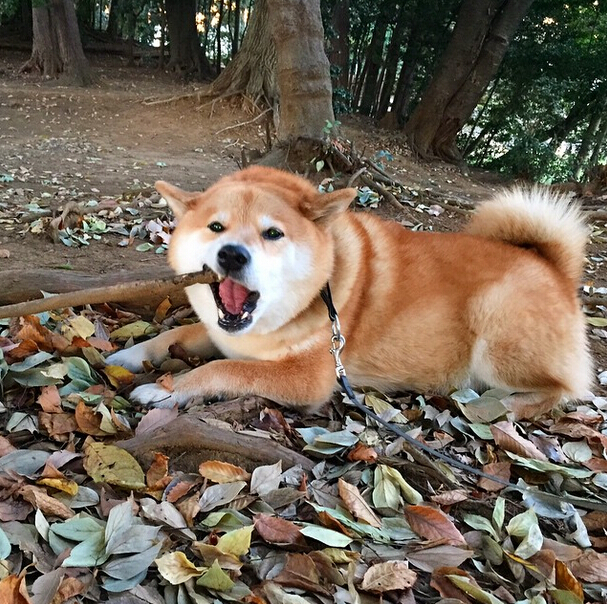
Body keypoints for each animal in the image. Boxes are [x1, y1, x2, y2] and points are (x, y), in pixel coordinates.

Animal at [107, 166, 592, 420]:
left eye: (272, 233)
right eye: (216, 227)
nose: (231, 255)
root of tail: (554, 267)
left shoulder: (308, 378)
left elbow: (222, 370)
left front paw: (165, 389)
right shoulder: (225, 333)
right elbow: (173, 336)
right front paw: (128, 356)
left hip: (497, 331)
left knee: (566, 391)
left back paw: (504, 404)